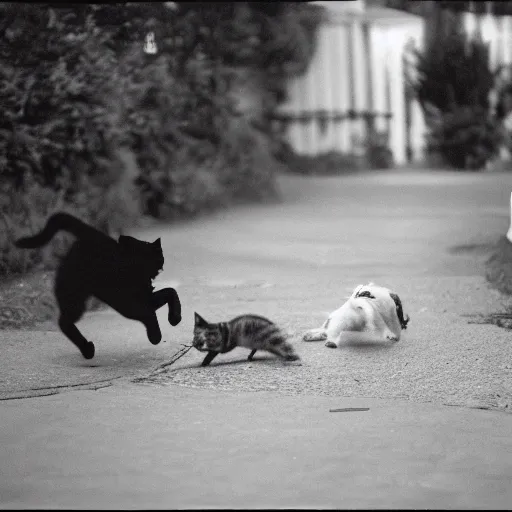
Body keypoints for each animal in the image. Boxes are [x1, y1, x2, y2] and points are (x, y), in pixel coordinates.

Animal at [14, 212, 182, 360]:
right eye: (157, 256)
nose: (160, 266)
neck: (136, 272)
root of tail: (90, 238)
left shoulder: (147, 299)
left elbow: (171, 291)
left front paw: (174, 318)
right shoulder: (131, 306)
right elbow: (151, 314)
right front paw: (155, 336)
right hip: (74, 299)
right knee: (63, 321)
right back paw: (87, 349)